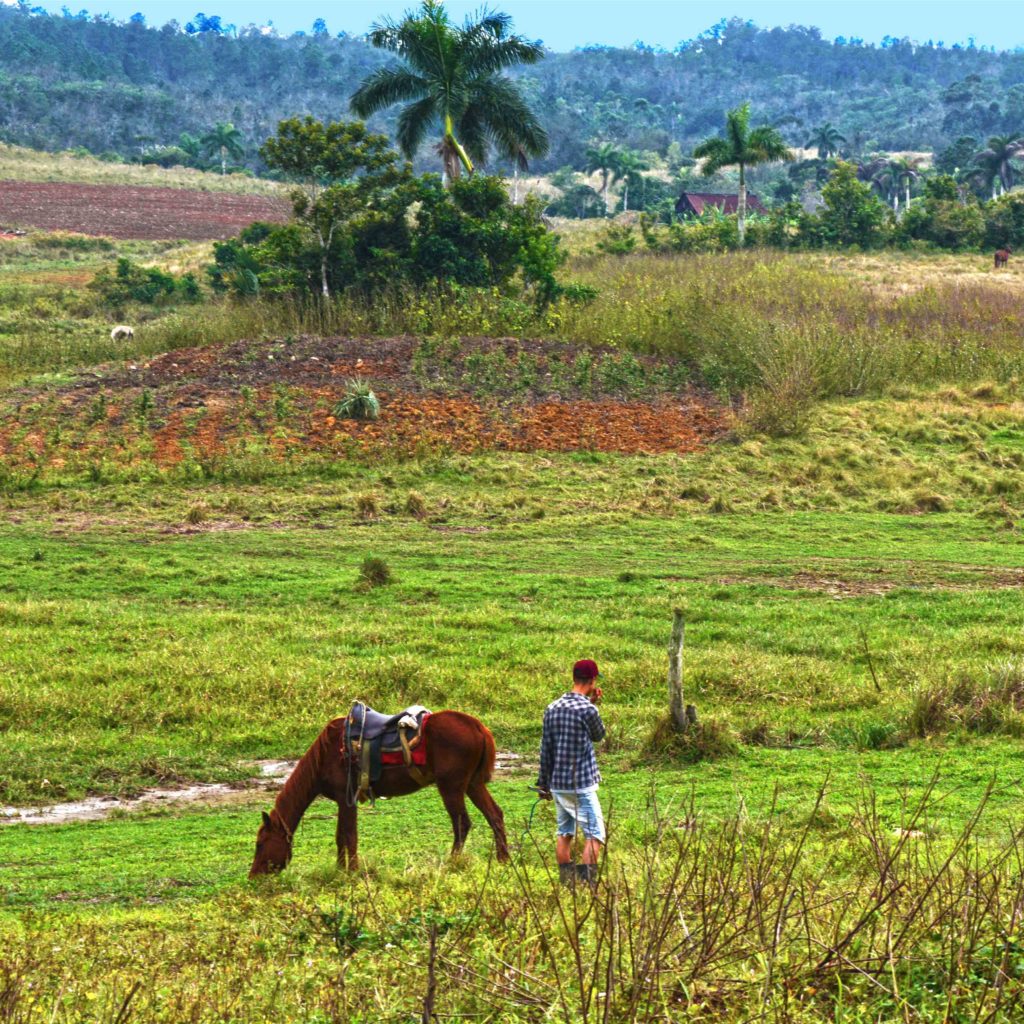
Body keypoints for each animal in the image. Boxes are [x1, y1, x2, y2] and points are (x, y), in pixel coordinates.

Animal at [249, 716, 509, 876]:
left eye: (260, 844)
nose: (254, 876)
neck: (325, 757)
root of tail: (477, 726)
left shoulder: (347, 799)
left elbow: (349, 836)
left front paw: (351, 872)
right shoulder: (343, 801)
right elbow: (341, 837)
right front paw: (340, 870)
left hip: (451, 787)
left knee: (462, 824)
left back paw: (452, 862)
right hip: (473, 784)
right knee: (495, 815)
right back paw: (503, 860)